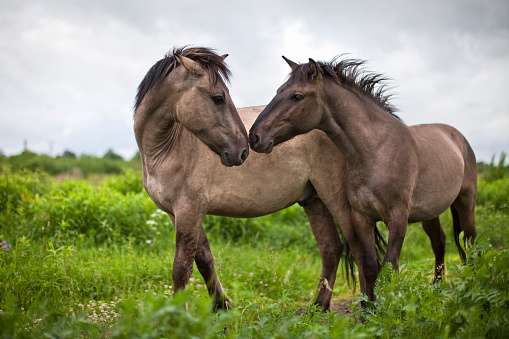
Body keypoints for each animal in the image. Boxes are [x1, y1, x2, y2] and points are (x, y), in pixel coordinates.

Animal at [133, 46, 382, 312]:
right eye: (218, 98)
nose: (243, 150)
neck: (166, 149)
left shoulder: (189, 209)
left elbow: (182, 268)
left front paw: (179, 314)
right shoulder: (177, 212)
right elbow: (204, 259)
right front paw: (221, 306)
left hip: (336, 199)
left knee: (358, 249)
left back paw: (366, 307)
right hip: (314, 200)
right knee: (331, 249)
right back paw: (318, 307)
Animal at [250, 55, 476, 302]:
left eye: (297, 96)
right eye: (279, 91)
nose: (254, 136)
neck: (376, 150)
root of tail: (459, 138)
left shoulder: (397, 217)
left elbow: (389, 266)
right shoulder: (361, 217)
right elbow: (369, 266)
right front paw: (369, 308)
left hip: (466, 201)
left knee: (469, 239)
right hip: (430, 212)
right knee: (440, 242)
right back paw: (436, 287)